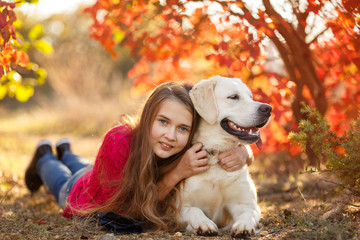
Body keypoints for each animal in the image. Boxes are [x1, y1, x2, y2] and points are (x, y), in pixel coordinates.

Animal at [180, 76, 272, 237]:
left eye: (250, 96)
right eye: (233, 97)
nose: (268, 108)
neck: (217, 153)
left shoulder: (246, 204)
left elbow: (247, 214)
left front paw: (243, 226)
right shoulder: (180, 208)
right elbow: (194, 210)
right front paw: (204, 224)